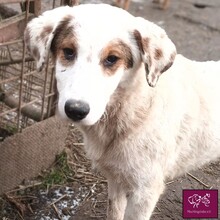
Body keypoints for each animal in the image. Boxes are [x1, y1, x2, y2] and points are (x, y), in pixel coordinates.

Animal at [25, 3, 220, 220]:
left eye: (112, 59)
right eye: (68, 51)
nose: (76, 110)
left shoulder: (145, 191)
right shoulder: (115, 179)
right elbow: (115, 212)